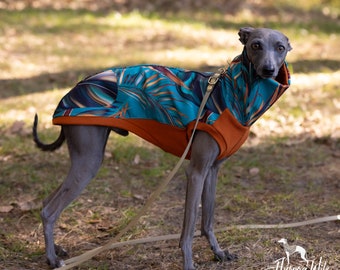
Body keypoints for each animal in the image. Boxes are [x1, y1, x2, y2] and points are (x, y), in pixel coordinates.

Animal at [33, 26, 290, 268]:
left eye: (280, 48)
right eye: (255, 45)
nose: (268, 70)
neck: (232, 94)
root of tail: (75, 89)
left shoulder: (212, 170)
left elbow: (207, 221)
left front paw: (218, 253)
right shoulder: (195, 172)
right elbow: (188, 229)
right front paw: (188, 263)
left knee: (47, 203)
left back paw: (57, 250)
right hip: (88, 160)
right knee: (49, 210)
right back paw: (53, 259)